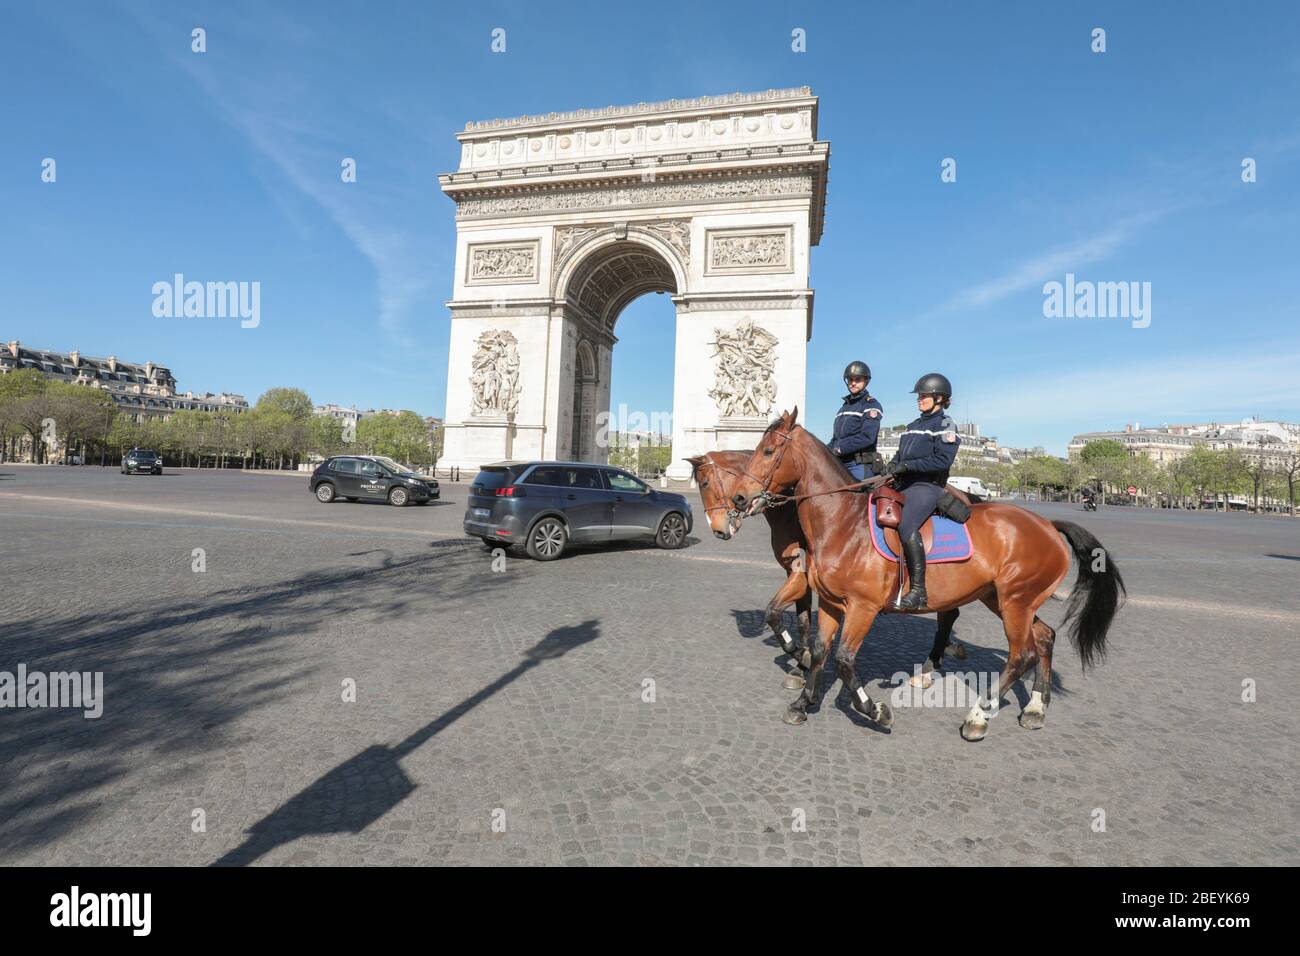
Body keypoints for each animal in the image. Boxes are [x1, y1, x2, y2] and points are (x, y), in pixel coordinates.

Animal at [717, 405, 1123, 738]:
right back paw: (1036, 707)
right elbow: (819, 650)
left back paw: (978, 715)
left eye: (768, 451)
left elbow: (845, 660)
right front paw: (803, 701)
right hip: (1003, 599)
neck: (842, 523)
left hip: (1015, 601)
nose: (738, 498)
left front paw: (875, 710)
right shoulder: (832, 603)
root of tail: (1048, 524)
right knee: (1044, 638)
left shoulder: (863, 607)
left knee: (1021, 653)